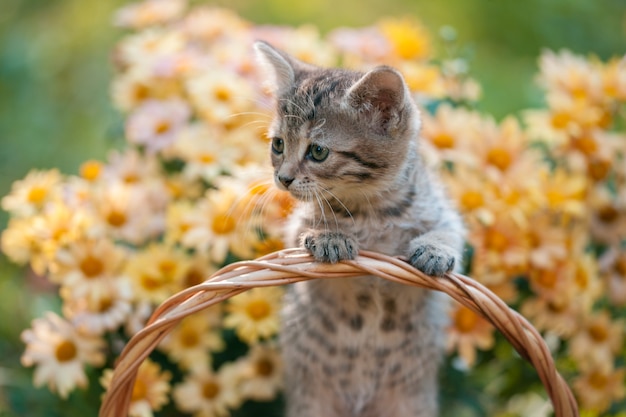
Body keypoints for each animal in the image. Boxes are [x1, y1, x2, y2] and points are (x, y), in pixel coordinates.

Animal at [254, 39, 464, 416]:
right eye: (278, 144)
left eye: (318, 151)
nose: (283, 178)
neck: (372, 211)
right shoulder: (296, 228)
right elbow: (301, 234)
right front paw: (329, 237)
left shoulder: (441, 210)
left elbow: (450, 232)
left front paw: (434, 251)